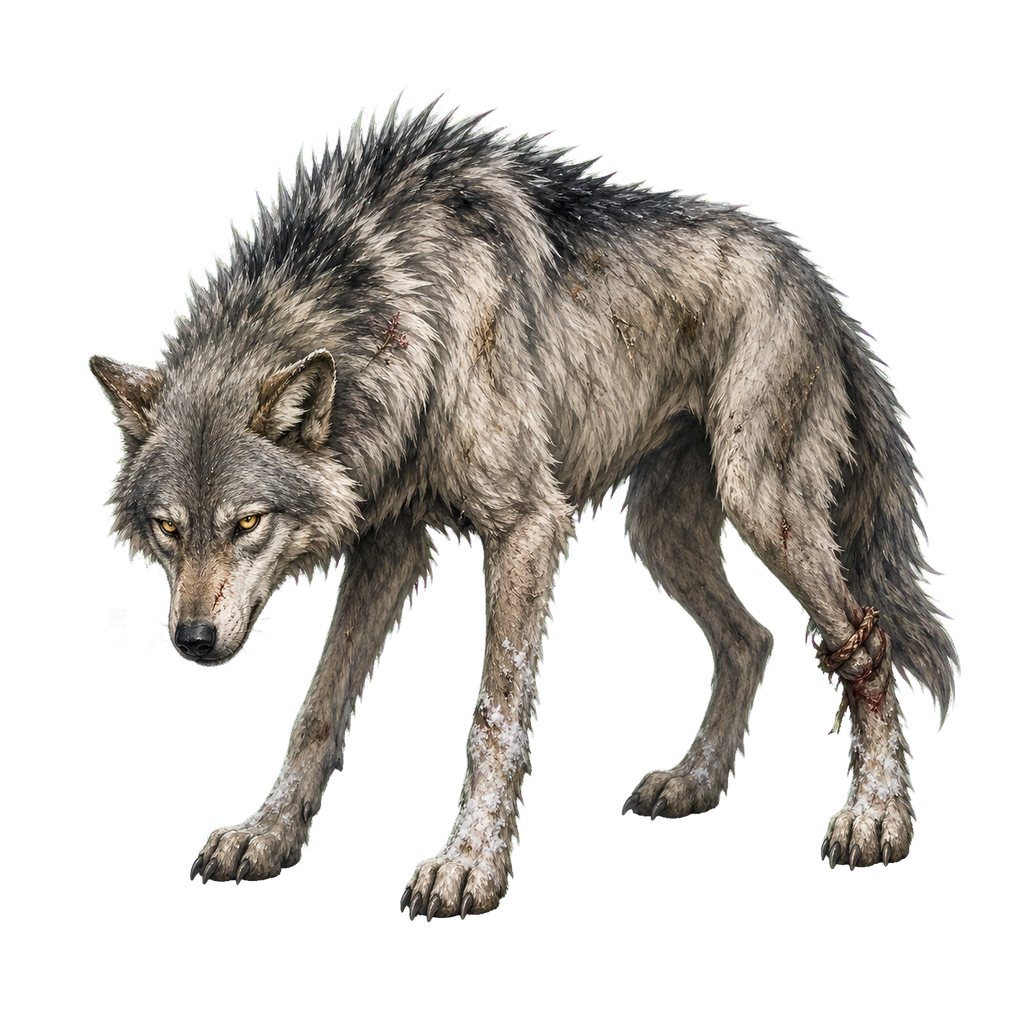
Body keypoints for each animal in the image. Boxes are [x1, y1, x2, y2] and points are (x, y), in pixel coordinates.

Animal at [90, 91, 959, 918]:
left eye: (247, 523)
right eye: (169, 529)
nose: (193, 641)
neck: (393, 294)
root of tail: (815, 277)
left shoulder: (527, 526)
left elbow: (497, 712)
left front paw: (469, 865)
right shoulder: (388, 544)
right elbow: (319, 709)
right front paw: (266, 836)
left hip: (763, 505)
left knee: (863, 643)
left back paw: (877, 820)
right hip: (659, 533)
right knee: (752, 639)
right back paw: (694, 783)